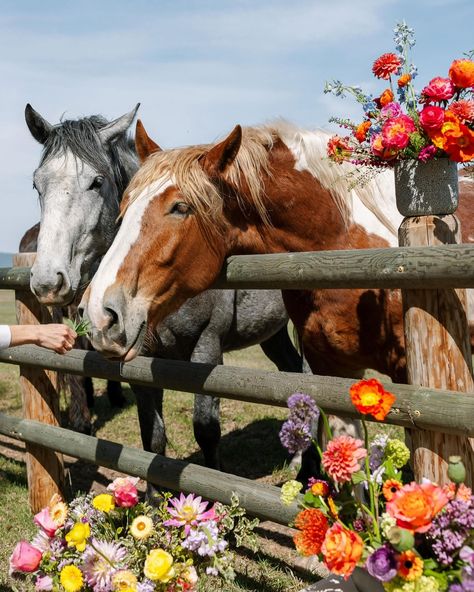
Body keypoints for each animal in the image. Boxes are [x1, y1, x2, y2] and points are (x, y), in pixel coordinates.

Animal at [24, 106, 306, 474]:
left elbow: (206, 430)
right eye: (37, 184)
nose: (48, 281)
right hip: (272, 333)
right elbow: (152, 438)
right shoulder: (140, 359)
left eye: (97, 182)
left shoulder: (207, 347)